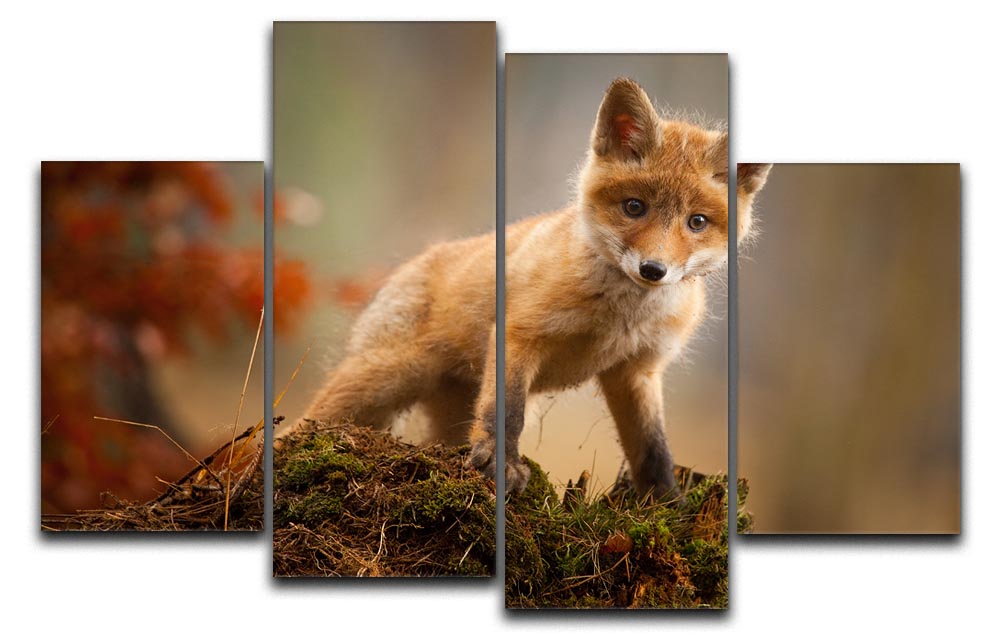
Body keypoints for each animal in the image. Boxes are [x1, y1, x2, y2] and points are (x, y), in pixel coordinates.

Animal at [287, 78, 770, 498]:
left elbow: (653, 449)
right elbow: (507, 413)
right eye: (634, 207)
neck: (619, 317)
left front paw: (668, 505)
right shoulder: (520, 335)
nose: (653, 269)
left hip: (443, 411)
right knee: (301, 425)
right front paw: (500, 465)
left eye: (697, 222)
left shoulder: (636, 370)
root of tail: (414, 262)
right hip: (382, 380)